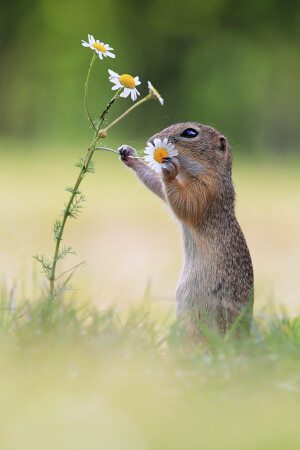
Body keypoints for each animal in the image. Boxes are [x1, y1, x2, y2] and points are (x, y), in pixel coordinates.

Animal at [119, 123, 253, 342]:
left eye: (190, 133)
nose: (152, 141)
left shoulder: (205, 191)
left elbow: (185, 204)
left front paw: (168, 172)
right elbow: (159, 187)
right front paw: (128, 154)